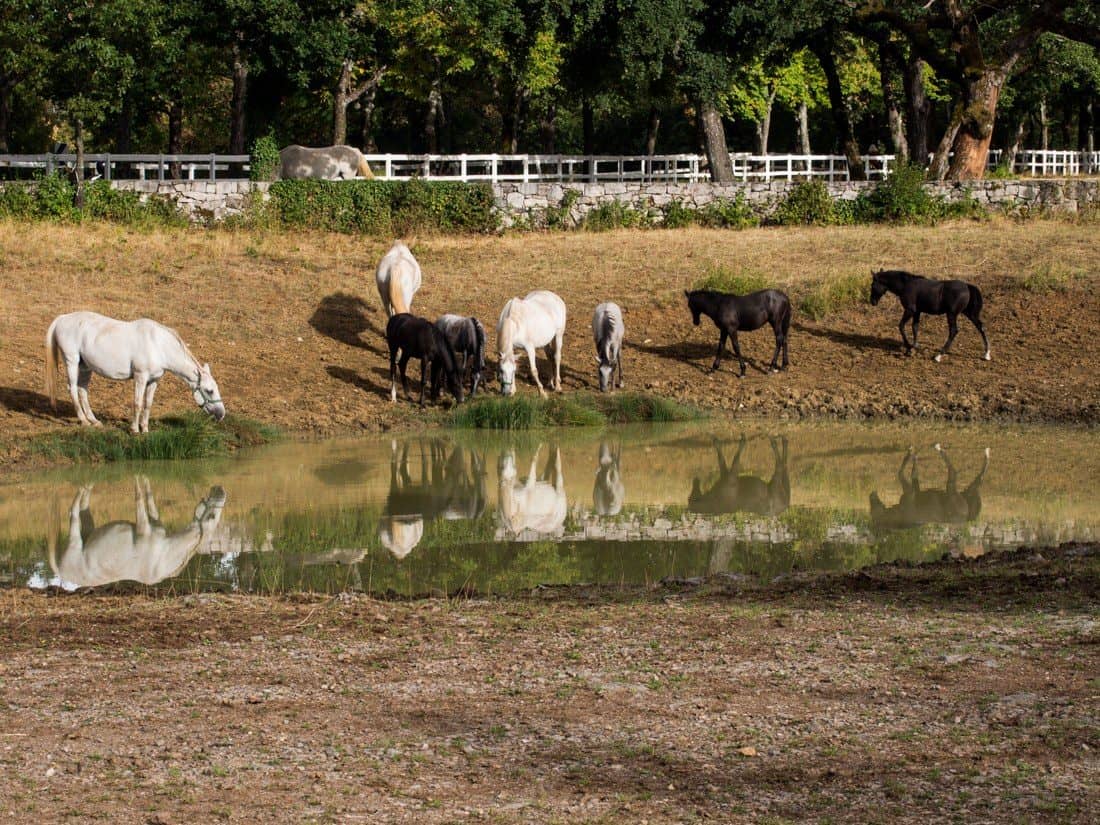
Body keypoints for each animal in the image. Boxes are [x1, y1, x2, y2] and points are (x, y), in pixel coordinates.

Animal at [46, 312, 226, 435]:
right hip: (72, 361)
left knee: (82, 390)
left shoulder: (154, 380)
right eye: (209, 390)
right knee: (72, 388)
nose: (221, 414)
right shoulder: (140, 377)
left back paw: (94, 421)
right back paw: (83, 421)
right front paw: (134, 430)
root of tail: (62, 318)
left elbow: (148, 404)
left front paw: (145, 429)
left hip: (85, 367)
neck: (158, 345)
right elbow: (137, 403)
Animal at [48, 481, 226, 589]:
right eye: (212, 516)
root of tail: (61, 571)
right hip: (77, 540)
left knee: (78, 509)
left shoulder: (147, 526)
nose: (220, 488)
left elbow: (146, 502)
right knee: (76, 508)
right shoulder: (145, 527)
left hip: (82, 536)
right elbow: (144, 499)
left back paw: (86, 487)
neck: (166, 553)